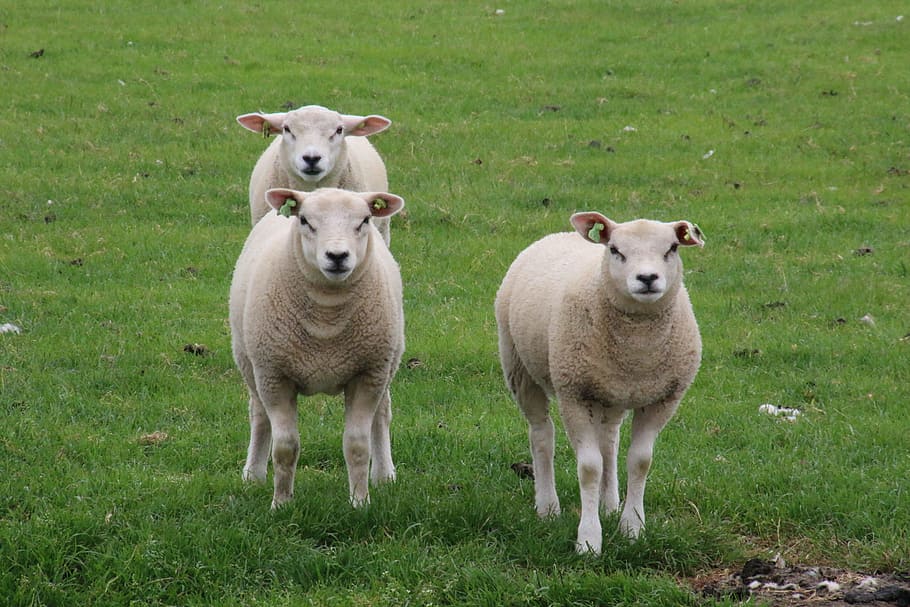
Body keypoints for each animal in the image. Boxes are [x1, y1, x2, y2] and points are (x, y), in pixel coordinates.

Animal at [229, 186, 405, 509]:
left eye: (364, 220)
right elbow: (285, 447)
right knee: (259, 416)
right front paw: (281, 504)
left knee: (381, 415)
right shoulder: (275, 376)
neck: (327, 317)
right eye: (305, 221)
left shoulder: (368, 373)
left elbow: (357, 444)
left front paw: (360, 502)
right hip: (250, 362)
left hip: (389, 362)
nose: (337, 256)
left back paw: (385, 475)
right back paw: (253, 475)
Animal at [494, 211, 705, 554]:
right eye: (615, 250)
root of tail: (559, 234)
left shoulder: (663, 399)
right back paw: (547, 506)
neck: (637, 349)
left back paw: (609, 504)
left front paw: (632, 528)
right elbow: (589, 467)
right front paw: (589, 540)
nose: (647, 278)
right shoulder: (574, 394)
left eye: (672, 248)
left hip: (610, 392)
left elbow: (640, 461)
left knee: (609, 442)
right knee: (542, 435)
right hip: (518, 366)